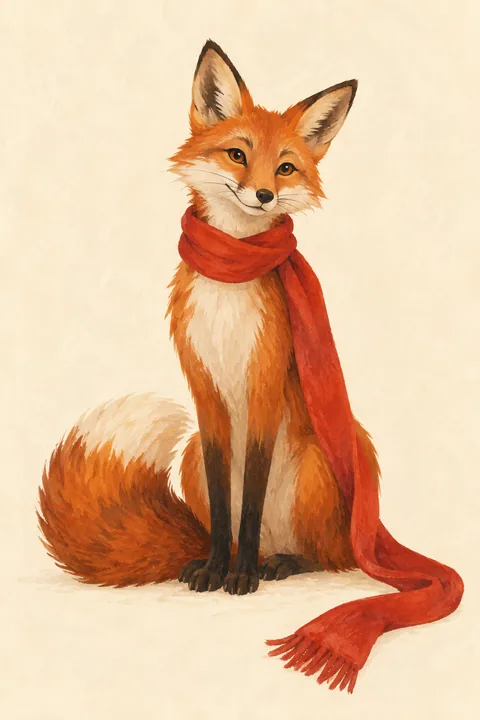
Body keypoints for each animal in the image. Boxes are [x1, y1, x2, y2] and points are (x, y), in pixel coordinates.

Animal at [38, 39, 380, 596]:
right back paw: (240, 557)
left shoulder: (263, 386)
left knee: (326, 556)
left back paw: (276, 563)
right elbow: (226, 508)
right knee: (249, 534)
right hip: (191, 455)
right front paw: (217, 568)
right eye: (237, 155)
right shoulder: (206, 397)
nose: (262, 195)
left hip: (322, 463)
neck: (230, 281)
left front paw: (239, 578)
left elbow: (251, 497)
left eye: (285, 168)